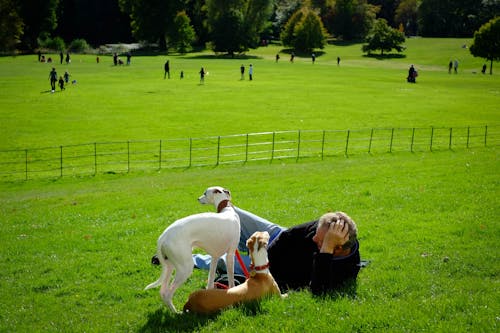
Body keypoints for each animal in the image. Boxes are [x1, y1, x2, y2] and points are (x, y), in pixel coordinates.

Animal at [145, 184, 240, 312]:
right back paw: (177, 313)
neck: (227, 209)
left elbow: (210, 281)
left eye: (205, 193)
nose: (198, 199)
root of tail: (163, 236)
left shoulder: (214, 257)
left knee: (163, 291)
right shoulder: (230, 255)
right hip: (185, 268)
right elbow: (231, 279)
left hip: (169, 266)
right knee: (168, 294)